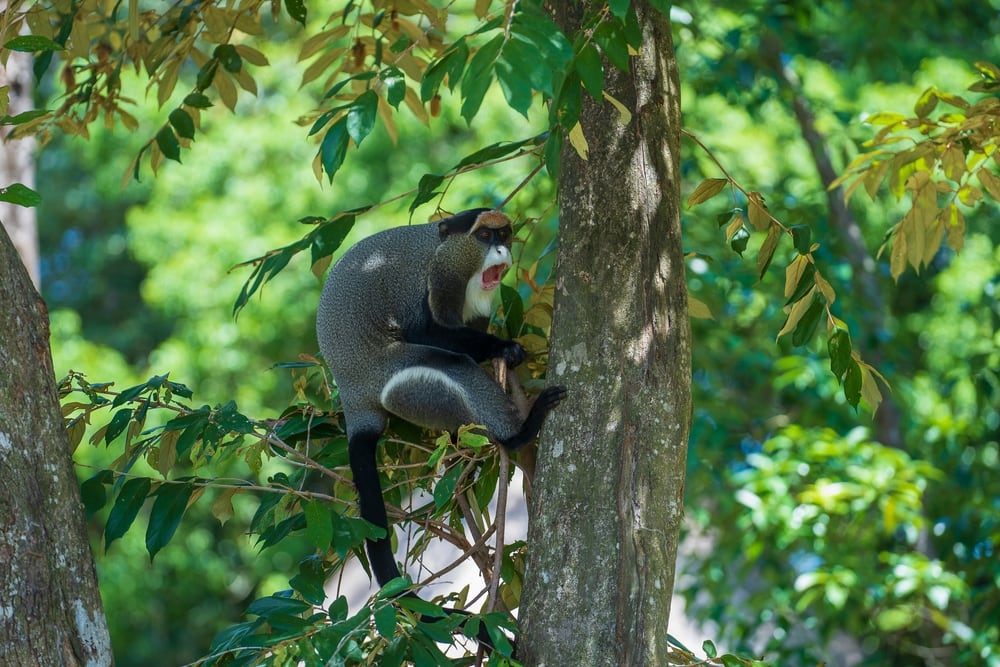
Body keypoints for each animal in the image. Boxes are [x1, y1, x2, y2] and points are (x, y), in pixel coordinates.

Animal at [315, 208, 566, 608]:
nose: (501, 250)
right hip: (392, 378)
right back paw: (519, 433)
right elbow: (429, 333)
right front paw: (505, 347)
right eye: (484, 236)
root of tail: (354, 400)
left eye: (504, 233)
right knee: (453, 366)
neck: (445, 249)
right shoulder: (435, 283)